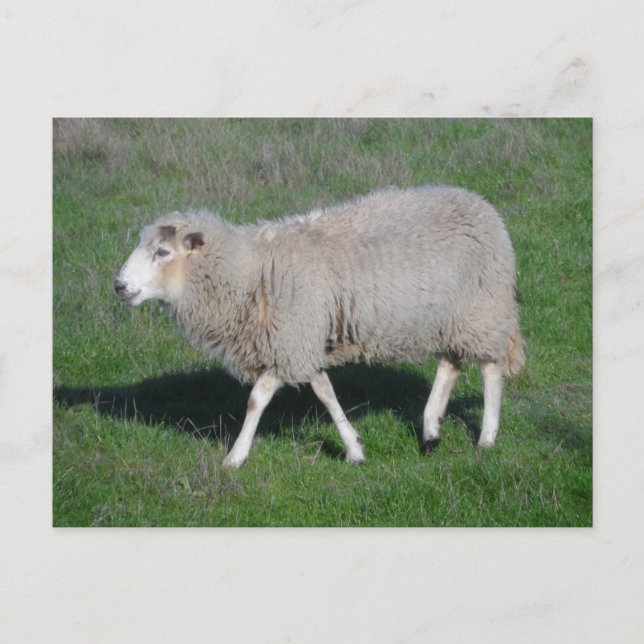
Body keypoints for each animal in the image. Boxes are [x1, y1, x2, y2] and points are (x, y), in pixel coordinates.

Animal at [114, 185, 525, 468]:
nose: (118, 286)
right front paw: (355, 448)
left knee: (490, 369)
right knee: (449, 364)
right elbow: (323, 391)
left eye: (162, 252)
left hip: (482, 308)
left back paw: (486, 436)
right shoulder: (297, 341)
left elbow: (256, 399)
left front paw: (235, 456)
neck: (251, 271)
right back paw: (430, 431)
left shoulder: (291, 338)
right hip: (451, 317)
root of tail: (480, 203)